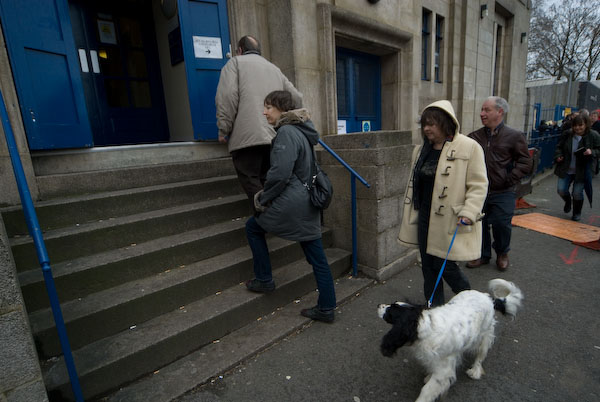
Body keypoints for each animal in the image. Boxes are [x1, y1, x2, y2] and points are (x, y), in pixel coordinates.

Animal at [378, 280, 524, 402]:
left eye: (390, 312)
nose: (379, 305)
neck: (424, 325)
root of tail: (488, 297)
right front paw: (428, 377)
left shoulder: (444, 369)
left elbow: (427, 390)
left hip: (484, 335)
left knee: (480, 355)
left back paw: (475, 371)